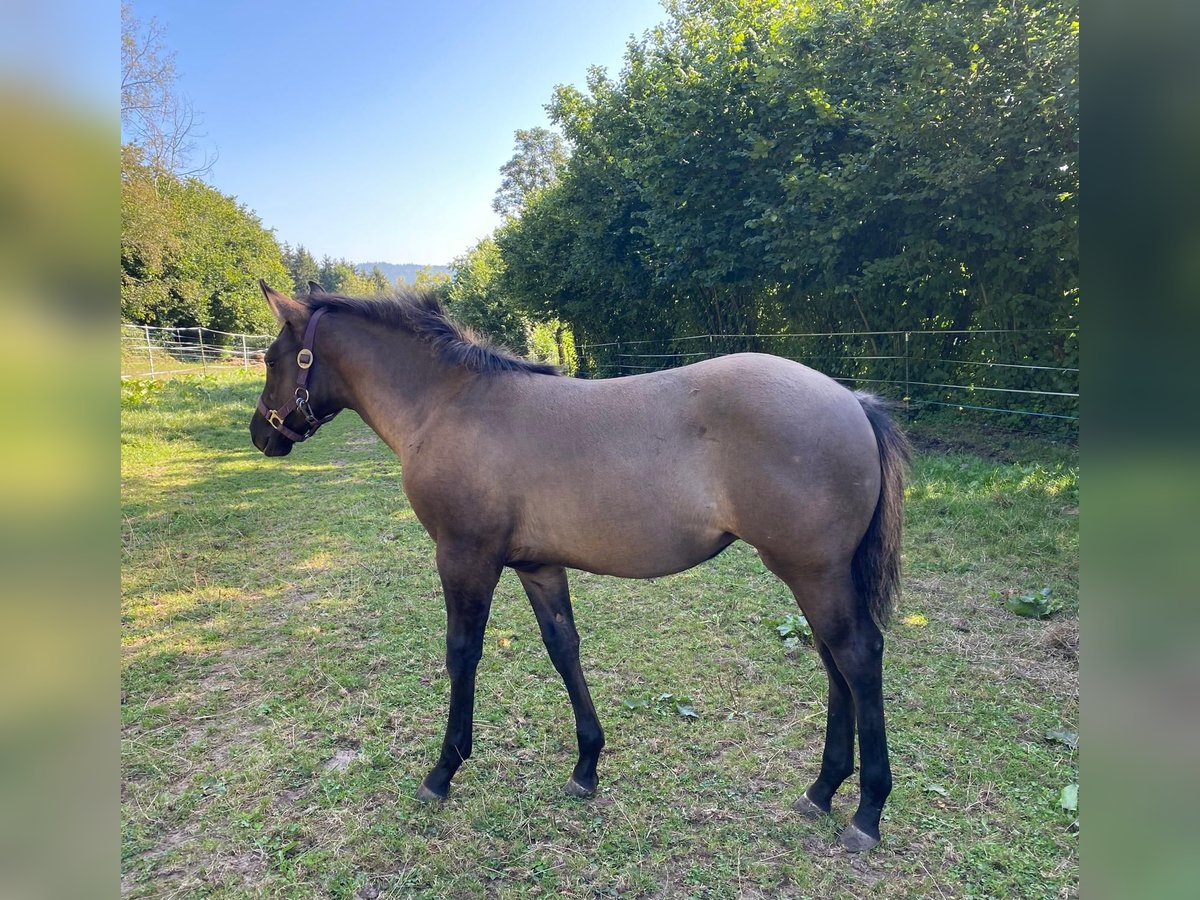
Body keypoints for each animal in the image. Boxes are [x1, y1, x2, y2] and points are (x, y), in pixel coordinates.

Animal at [250, 282, 907, 854]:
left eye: (271, 358)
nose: (262, 434)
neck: (449, 405)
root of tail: (852, 401)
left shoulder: (465, 557)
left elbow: (462, 654)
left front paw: (442, 771)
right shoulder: (537, 565)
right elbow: (563, 647)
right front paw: (586, 765)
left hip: (813, 571)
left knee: (856, 655)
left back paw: (867, 812)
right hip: (814, 575)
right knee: (833, 660)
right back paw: (822, 790)